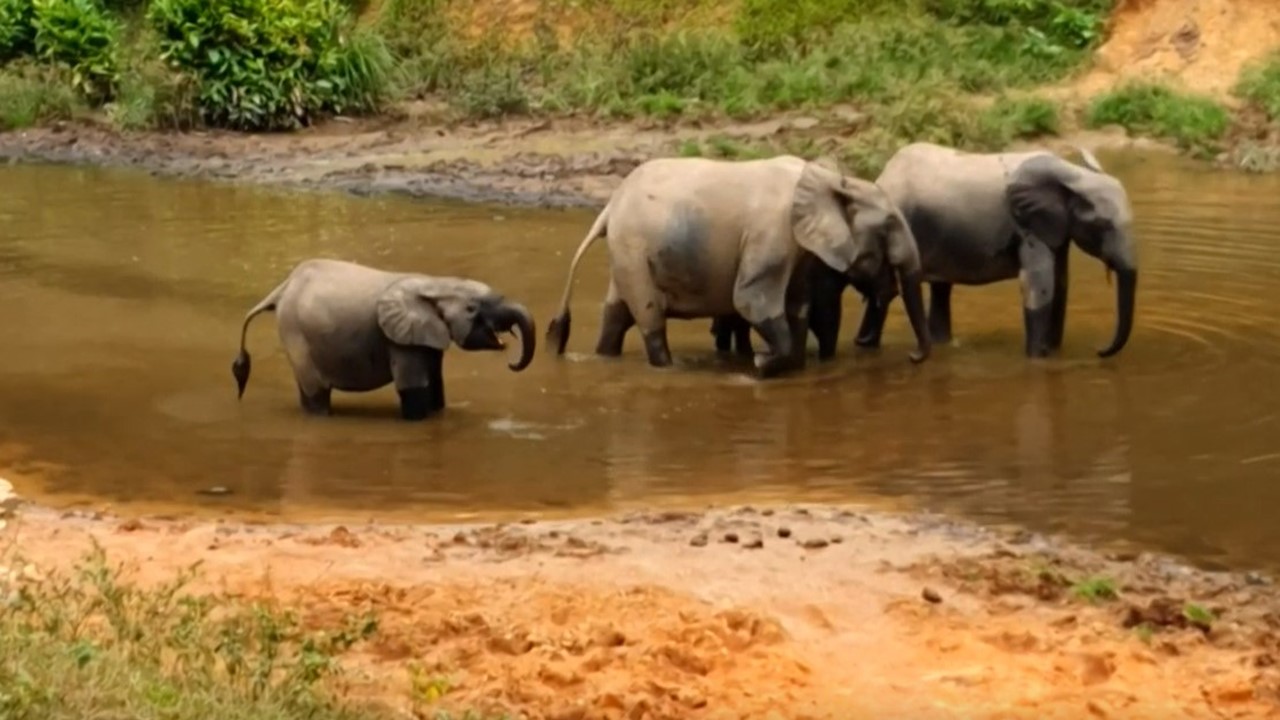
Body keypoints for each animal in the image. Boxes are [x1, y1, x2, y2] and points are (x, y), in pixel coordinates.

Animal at [230, 258, 536, 420]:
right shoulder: (400, 341)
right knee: (316, 392)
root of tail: (281, 289)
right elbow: (413, 388)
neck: (435, 283)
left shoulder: (425, 334)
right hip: (295, 331)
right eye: (473, 309)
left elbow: (436, 386)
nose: (511, 361)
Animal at [545, 154, 931, 379]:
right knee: (649, 317)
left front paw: (780, 365)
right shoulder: (772, 231)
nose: (913, 357)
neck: (829, 180)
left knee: (616, 315)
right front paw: (760, 364)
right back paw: (668, 368)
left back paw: (606, 359)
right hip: (632, 249)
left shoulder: (798, 247)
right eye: (888, 227)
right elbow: (751, 301)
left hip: (627, 253)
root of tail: (608, 208)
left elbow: (797, 305)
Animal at [804, 142, 1138, 359]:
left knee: (935, 290)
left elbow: (1061, 283)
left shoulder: (1054, 226)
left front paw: (1053, 353)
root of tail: (882, 175)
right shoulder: (1025, 225)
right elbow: (1039, 285)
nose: (1099, 351)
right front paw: (1037, 359)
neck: (1072, 175)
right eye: (1103, 225)